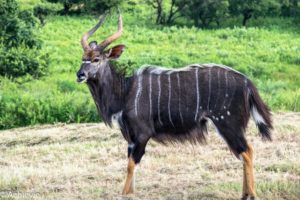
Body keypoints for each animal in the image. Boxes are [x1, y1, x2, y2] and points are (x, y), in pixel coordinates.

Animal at [77, 13, 272, 199]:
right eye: (83, 58)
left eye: (96, 59)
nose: (80, 75)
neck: (125, 92)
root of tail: (247, 83)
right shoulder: (131, 138)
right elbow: (130, 166)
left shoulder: (142, 134)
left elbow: (131, 165)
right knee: (244, 152)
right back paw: (244, 193)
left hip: (228, 123)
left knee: (247, 151)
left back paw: (251, 194)